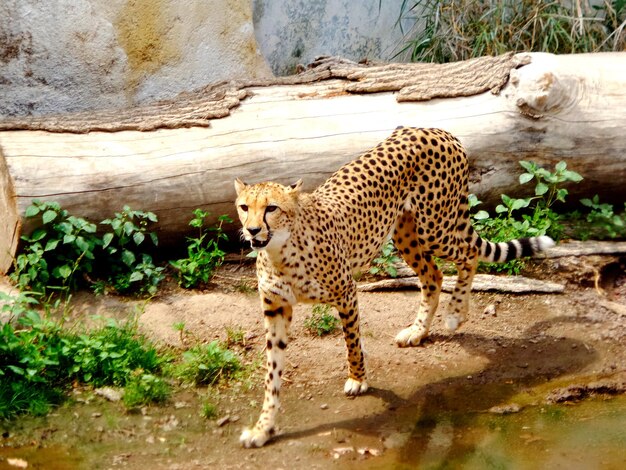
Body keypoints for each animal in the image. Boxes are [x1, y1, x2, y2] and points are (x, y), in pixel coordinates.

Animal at [233, 126, 552, 448]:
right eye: (244, 207)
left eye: (271, 208)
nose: (252, 230)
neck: (279, 251)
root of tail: (435, 129)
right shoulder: (275, 308)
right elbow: (272, 374)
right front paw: (263, 428)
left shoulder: (346, 293)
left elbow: (352, 342)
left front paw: (358, 379)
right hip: (405, 232)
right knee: (434, 275)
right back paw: (418, 331)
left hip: (435, 227)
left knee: (469, 254)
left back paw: (455, 313)